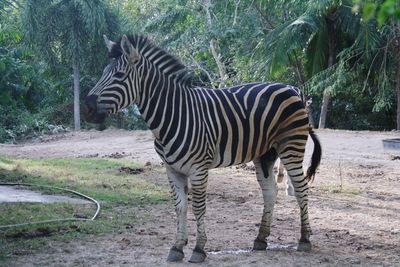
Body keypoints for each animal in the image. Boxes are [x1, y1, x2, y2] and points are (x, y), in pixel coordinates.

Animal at [84, 35, 322, 264]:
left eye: (119, 75)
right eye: (104, 73)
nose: (87, 108)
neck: (173, 114)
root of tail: (293, 88)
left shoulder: (198, 168)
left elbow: (198, 207)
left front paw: (198, 249)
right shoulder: (172, 169)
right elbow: (180, 206)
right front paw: (177, 247)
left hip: (291, 146)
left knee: (301, 188)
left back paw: (304, 239)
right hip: (265, 154)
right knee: (270, 191)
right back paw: (261, 239)